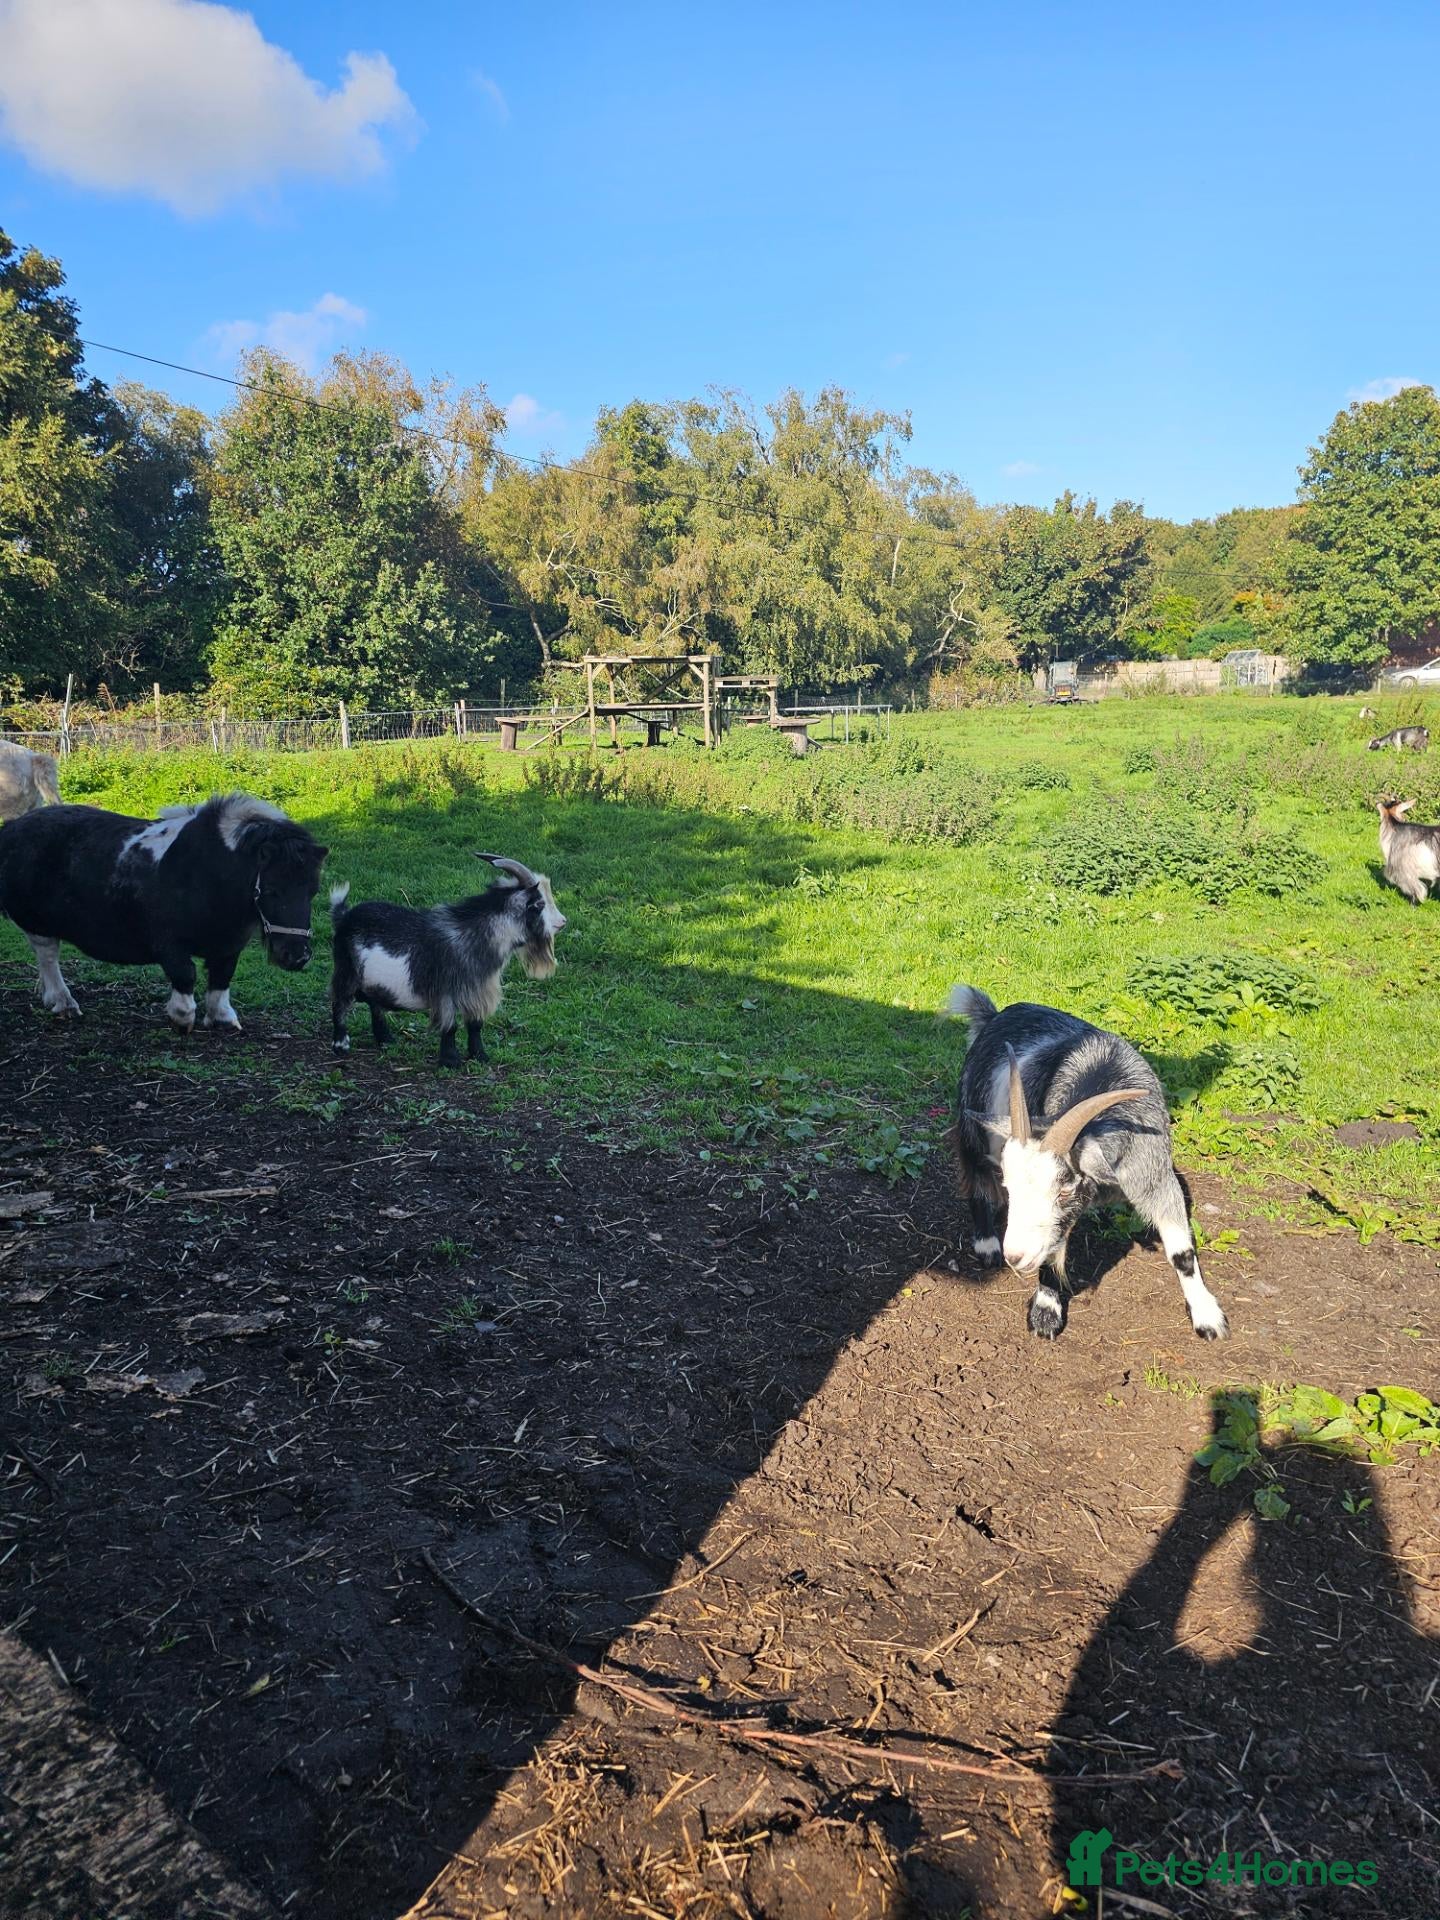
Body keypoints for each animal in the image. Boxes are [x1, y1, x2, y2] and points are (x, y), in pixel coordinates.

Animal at [329, 853, 566, 1068]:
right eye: (539, 904)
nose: (563, 921)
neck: (473, 936)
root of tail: (344, 916)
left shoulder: (477, 991)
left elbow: (475, 1025)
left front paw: (479, 1056)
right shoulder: (446, 992)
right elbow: (450, 1026)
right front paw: (451, 1061)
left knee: (372, 1002)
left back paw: (386, 1039)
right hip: (345, 968)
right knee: (339, 1001)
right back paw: (341, 1044)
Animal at [942, 985, 1227, 1342]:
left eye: (1064, 1191)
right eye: (1011, 1186)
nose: (1015, 1256)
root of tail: (995, 1015)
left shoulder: (1157, 1178)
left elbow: (1182, 1254)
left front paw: (1208, 1318)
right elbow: (1053, 1252)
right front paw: (1046, 1314)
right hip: (976, 1115)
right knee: (975, 1171)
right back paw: (987, 1243)